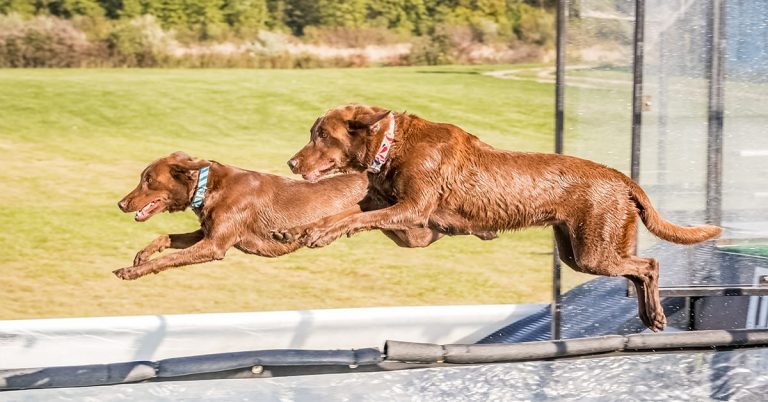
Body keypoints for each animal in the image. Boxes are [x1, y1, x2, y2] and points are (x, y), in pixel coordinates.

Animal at [113, 151, 456, 280]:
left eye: (148, 180)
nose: (121, 203)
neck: (208, 186)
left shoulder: (214, 246)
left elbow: (170, 259)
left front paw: (133, 271)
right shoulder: (206, 234)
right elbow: (166, 239)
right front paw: (142, 255)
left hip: (412, 232)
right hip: (402, 234)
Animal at [280, 103, 724, 330]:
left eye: (322, 135)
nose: (291, 163)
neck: (392, 145)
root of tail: (622, 177)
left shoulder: (414, 214)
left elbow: (350, 219)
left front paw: (319, 234)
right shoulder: (411, 225)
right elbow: (345, 211)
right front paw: (299, 230)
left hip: (594, 250)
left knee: (648, 265)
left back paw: (656, 314)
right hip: (578, 251)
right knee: (637, 268)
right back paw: (650, 315)